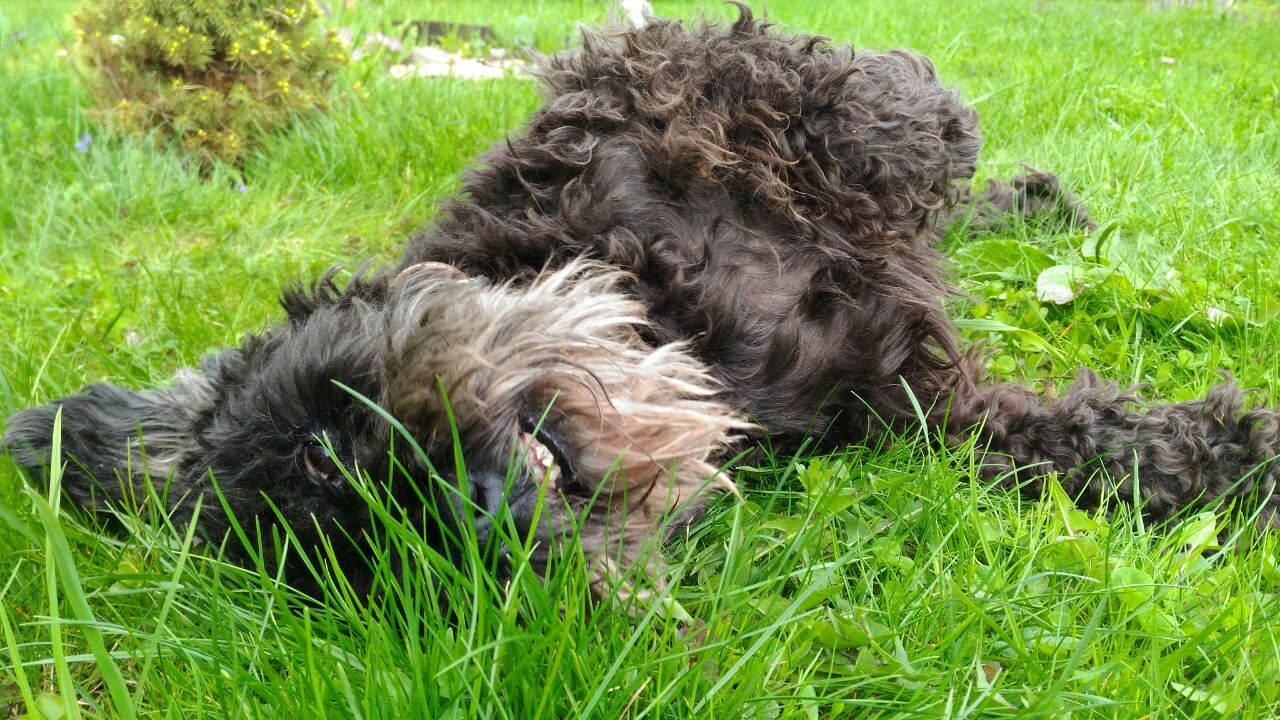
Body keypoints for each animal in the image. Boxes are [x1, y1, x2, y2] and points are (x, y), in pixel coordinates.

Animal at [5, 8, 1277, 599]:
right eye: (396, 558)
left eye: (327, 447)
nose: (482, 513)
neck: (681, 331)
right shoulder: (916, 405)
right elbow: (1097, 442)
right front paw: (1246, 461)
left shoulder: (653, 82)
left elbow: (865, 105)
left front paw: (918, 143)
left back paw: (1025, 198)